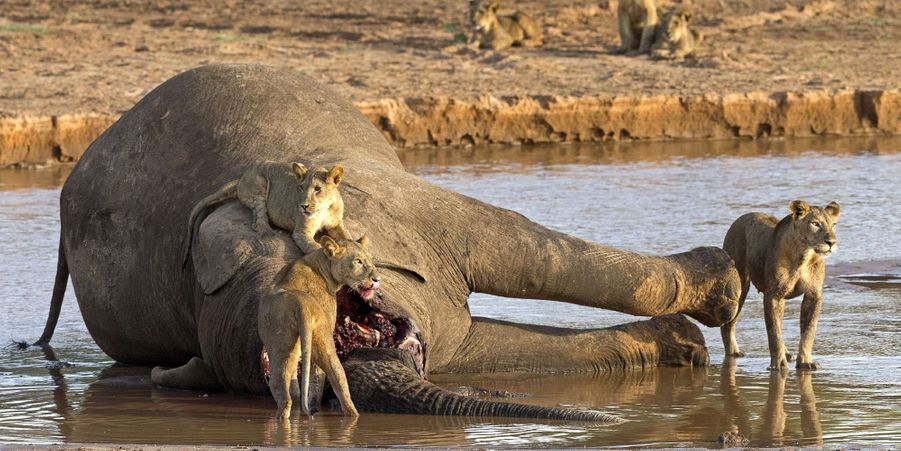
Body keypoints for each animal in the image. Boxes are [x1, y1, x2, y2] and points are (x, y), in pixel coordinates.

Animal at [182, 161, 352, 266]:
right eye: (301, 187)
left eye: (317, 189)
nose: (303, 206)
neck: (324, 208)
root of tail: (241, 179)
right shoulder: (301, 232)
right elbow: (315, 247)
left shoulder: (336, 224)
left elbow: (347, 237)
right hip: (260, 185)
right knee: (258, 223)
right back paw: (272, 232)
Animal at [259, 235, 380, 419]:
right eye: (358, 261)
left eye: (370, 260)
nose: (377, 279)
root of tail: (301, 304)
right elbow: (316, 377)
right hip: (320, 336)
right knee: (335, 376)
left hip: (285, 343)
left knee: (286, 384)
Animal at [721, 200, 840, 371]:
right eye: (815, 224)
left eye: (834, 225)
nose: (831, 242)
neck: (803, 255)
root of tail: (741, 218)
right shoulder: (773, 295)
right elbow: (773, 332)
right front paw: (778, 364)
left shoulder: (813, 295)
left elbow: (808, 331)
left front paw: (805, 361)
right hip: (740, 286)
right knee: (728, 324)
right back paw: (733, 352)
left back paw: (788, 353)